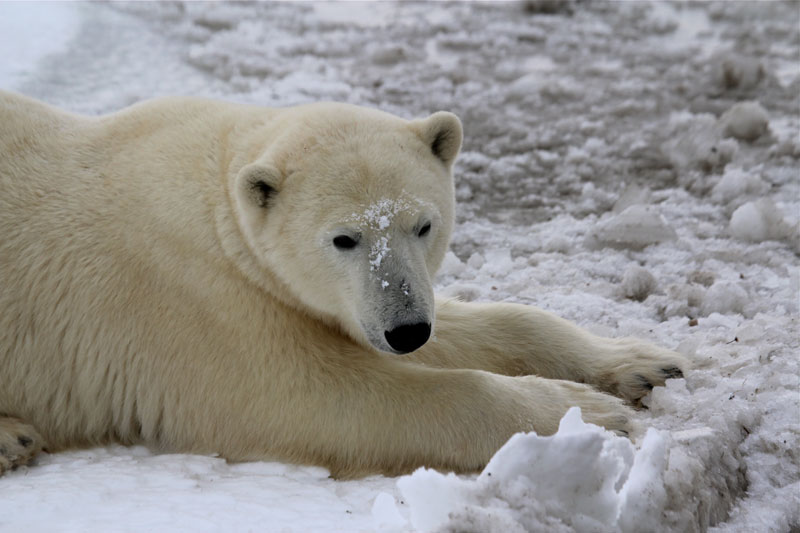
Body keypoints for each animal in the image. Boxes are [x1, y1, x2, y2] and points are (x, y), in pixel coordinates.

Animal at [0, 89, 688, 476]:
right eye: (344, 239)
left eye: (424, 224)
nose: (407, 331)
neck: (220, 205)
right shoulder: (193, 303)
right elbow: (311, 400)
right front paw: (590, 416)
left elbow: (488, 323)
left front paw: (643, 364)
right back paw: (13, 439)